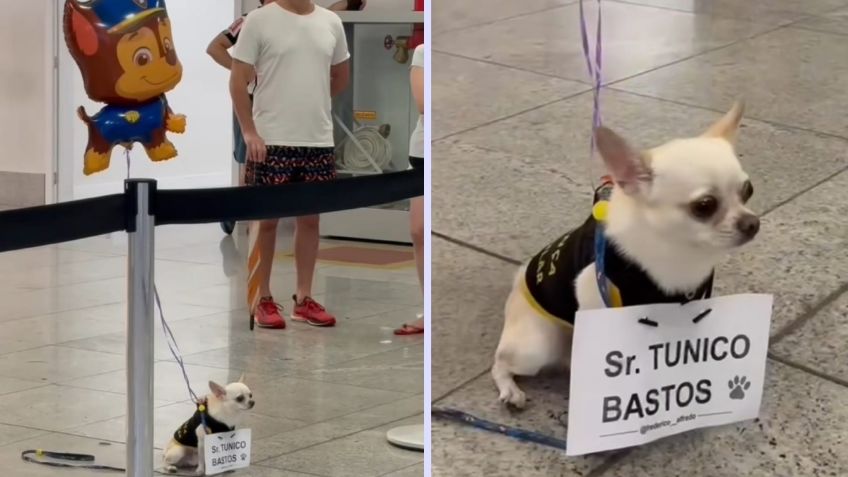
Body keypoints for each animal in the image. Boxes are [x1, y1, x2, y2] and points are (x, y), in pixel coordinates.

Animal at [494, 102, 760, 408]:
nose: (753, 223)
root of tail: (518, 283)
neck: (677, 252)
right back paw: (510, 389)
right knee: (500, 361)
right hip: (535, 347)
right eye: (704, 206)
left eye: (748, 191)